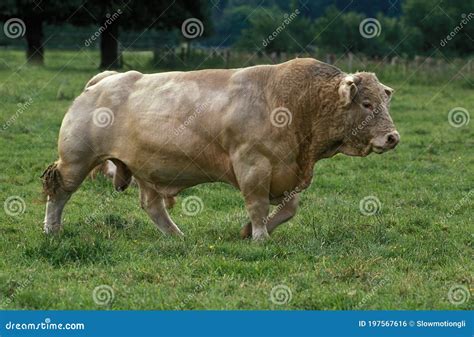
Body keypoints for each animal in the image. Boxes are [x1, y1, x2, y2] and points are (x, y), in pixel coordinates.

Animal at [42, 59, 398, 239]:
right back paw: (52, 230)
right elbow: (257, 206)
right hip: (76, 159)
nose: (393, 137)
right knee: (58, 192)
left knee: (152, 206)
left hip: (144, 167)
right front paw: (260, 236)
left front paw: (249, 231)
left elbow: (288, 209)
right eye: (367, 104)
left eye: (384, 102)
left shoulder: (288, 169)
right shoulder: (252, 165)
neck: (297, 103)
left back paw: (177, 236)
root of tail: (106, 79)